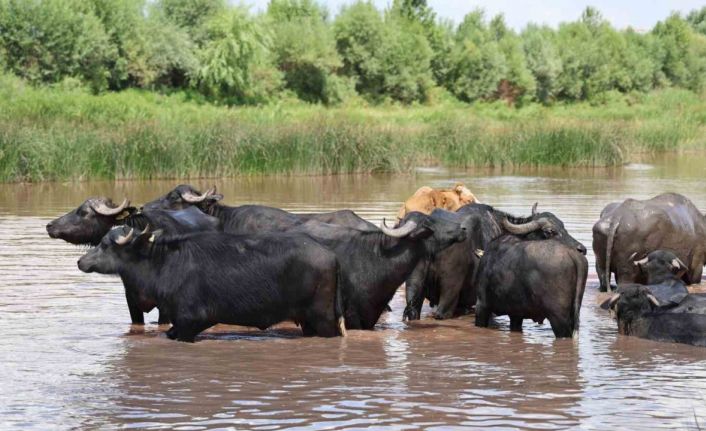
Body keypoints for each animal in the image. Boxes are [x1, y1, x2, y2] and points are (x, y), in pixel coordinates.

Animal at [77, 226, 344, 344]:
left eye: (105, 244)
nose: (81, 261)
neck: (162, 264)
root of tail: (331, 255)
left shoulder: (190, 321)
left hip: (323, 317)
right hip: (306, 320)